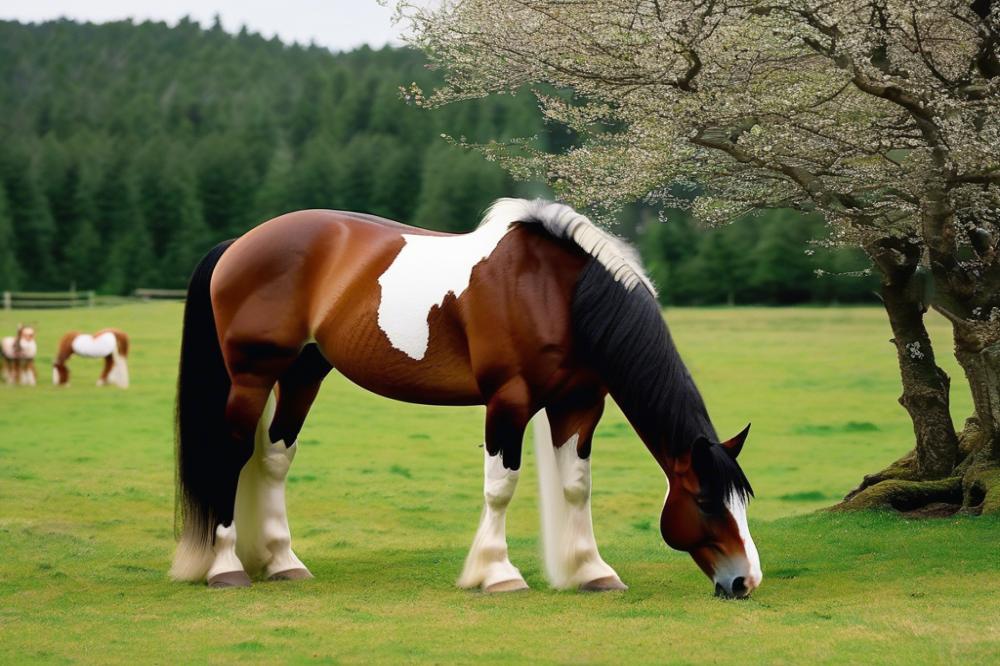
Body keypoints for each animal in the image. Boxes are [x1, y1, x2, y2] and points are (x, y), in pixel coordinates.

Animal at [172, 198, 760, 596]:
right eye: (706, 501)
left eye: (741, 501)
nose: (744, 581)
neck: (555, 292)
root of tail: (239, 245)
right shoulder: (509, 402)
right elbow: (501, 488)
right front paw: (497, 573)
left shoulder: (579, 405)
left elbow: (577, 486)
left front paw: (594, 571)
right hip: (252, 376)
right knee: (229, 457)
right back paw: (226, 568)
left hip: (302, 374)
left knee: (273, 459)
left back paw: (283, 562)